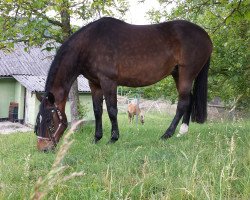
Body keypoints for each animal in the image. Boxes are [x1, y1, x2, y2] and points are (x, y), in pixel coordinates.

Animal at [34, 16, 212, 152]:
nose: (43, 148)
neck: (89, 44)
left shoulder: (108, 82)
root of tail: (205, 36)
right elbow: (97, 111)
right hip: (177, 74)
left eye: (49, 120)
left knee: (183, 103)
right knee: (188, 99)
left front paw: (113, 138)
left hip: (187, 73)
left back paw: (167, 134)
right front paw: (96, 138)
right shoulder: (95, 84)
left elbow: (112, 110)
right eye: (38, 120)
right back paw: (182, 132)